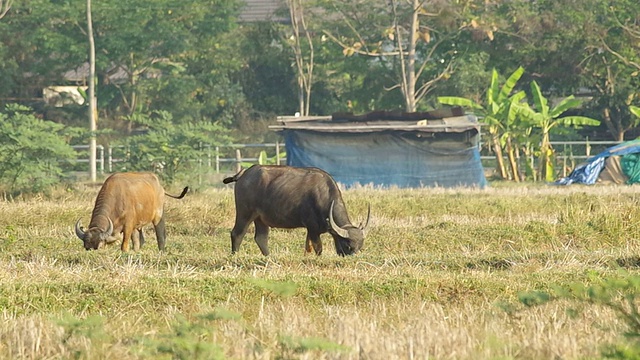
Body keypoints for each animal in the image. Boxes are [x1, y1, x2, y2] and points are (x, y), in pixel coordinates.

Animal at [222, 165, 370, 256]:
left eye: (360, 247)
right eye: (349, 246)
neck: (323, 196)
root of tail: (243, 175)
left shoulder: (312, 231)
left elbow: (308, 248)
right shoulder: (313, 229)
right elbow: (318, 249)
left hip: (260, 219)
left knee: (261, 238)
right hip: (245, 213)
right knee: (237, 234)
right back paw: (235, 255)